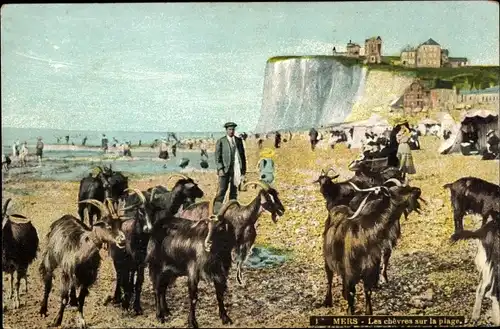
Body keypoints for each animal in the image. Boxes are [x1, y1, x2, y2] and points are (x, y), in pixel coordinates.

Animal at [38, 196, 133, 326]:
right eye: (108, 226)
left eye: (120, 225)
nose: (122, 240)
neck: (82, 249)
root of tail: (63, 218)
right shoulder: (65, 273)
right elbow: (63, 298)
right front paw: (57, 320)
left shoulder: (87, 276)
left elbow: (82, 298)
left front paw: (81, 320)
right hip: (51, 257)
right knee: (48, 282)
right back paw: (43, 310)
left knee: (73, 286)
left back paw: (73, 301)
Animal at [146, 196, 236, 326]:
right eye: (208, 226)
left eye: (221, 227)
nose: (207, 244)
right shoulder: (193, 270)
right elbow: (193, 297)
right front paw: (192, 322)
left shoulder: (221, 273)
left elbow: (220, 294)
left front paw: (225, 318)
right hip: (156, 265)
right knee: (157, 289)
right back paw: (160, 316)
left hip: (169, 270)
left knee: (163, 289)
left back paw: (167, 311)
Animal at [320, 183, 422, 314]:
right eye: (399, 190)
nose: (418, 190)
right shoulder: (351, 271)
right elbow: (352, 294)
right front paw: (350, 312)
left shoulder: (370, 271)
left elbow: (368, 291)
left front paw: (369, 312)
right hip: (327, 258)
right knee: (329, 277)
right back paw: (328, 301)